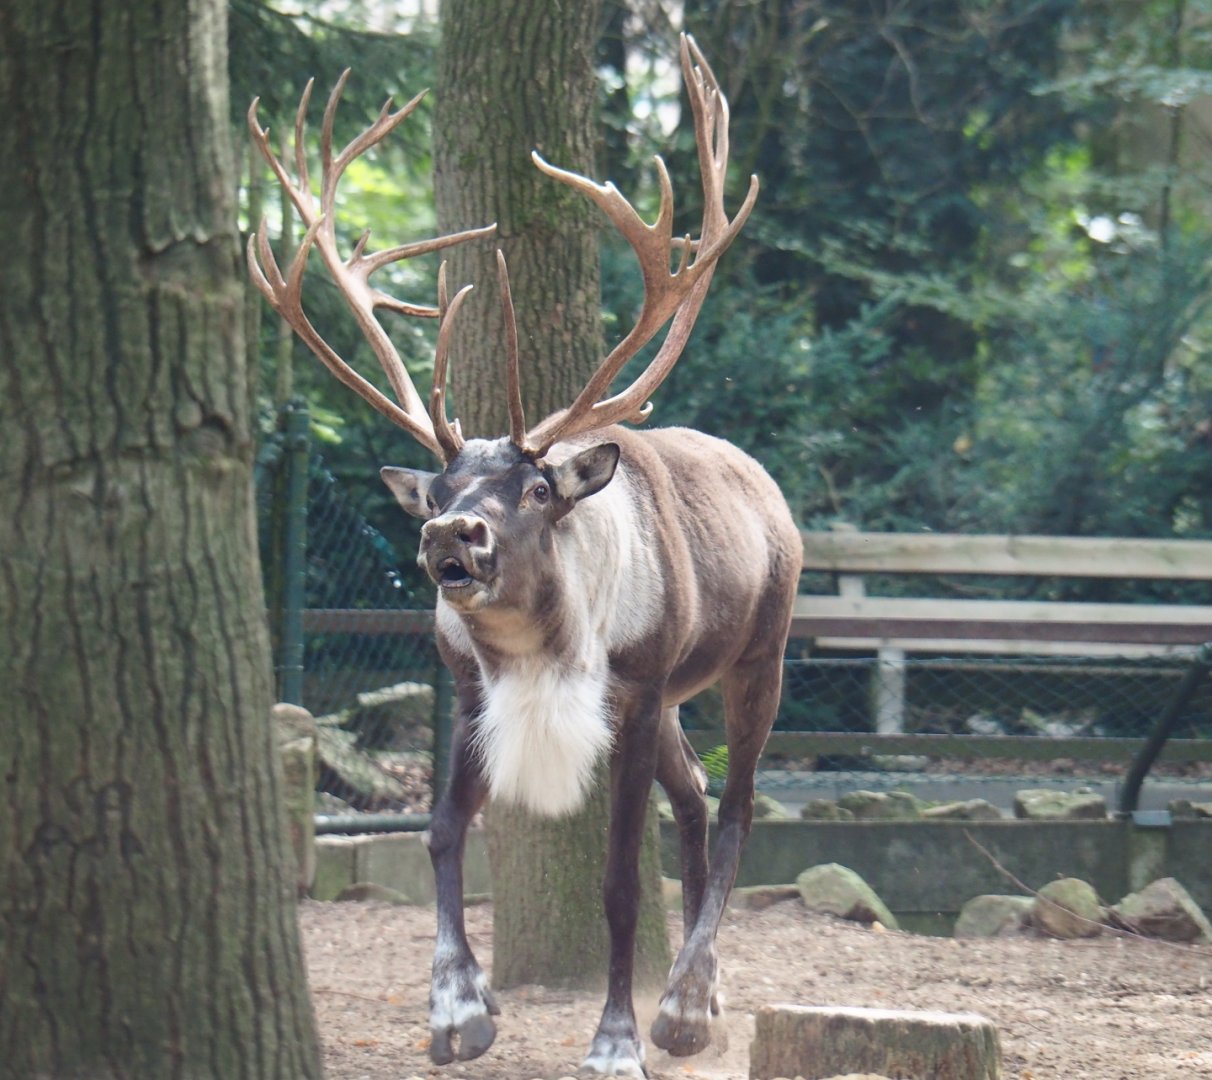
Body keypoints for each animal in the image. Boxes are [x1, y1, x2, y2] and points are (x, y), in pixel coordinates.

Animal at [247, 35, 801, 1078]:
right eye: (438, 487)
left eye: (538, 490)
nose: (450, 536)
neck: (539, 653)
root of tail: (762, 481)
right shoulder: (471, 690)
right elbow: (439, 833)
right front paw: (457, 1009)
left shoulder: (632, 687)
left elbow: (620, 878)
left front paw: (615, 1039)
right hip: (677, 699)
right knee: (697, 797)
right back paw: (697, 997)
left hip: (758, 655)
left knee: (742, 802)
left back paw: (684, 1003)